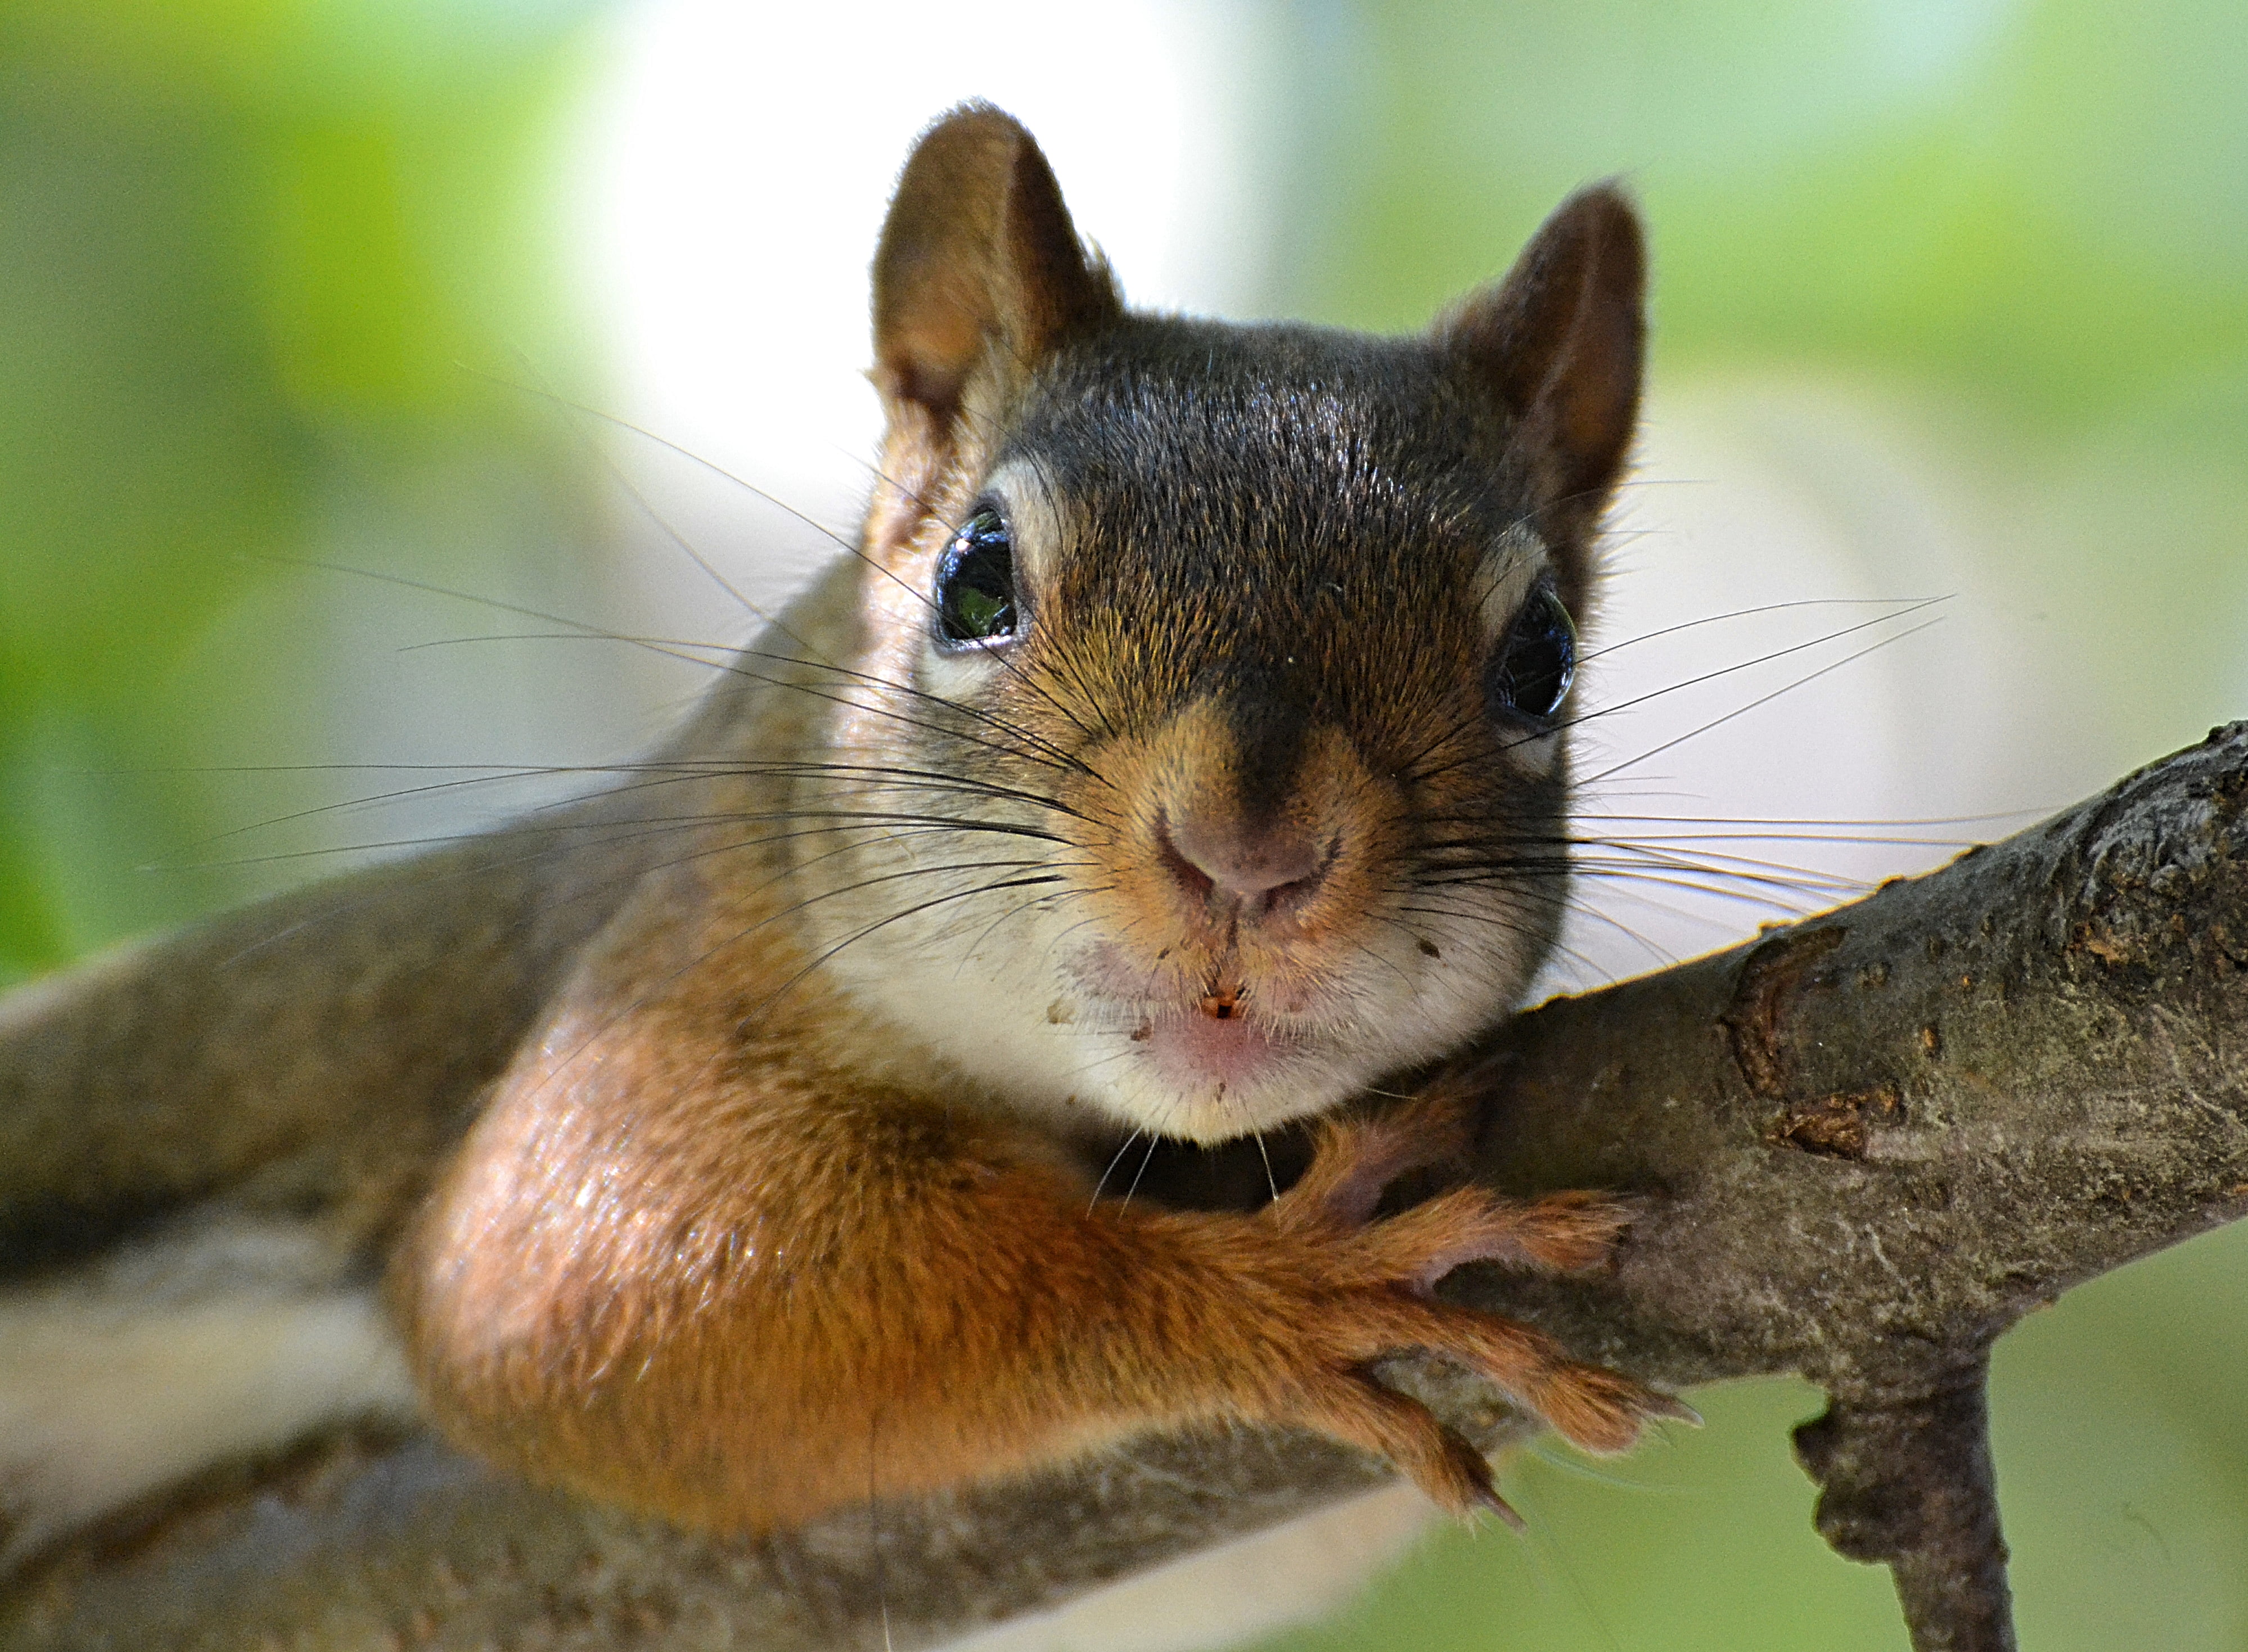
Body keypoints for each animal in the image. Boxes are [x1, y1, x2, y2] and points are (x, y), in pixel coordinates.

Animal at [0, 101, 1683, 1560]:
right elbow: (550, 1273)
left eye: (1542, 661)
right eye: (974, 577)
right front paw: (1281, 1286)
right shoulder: (663, 967)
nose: (1246, 854)